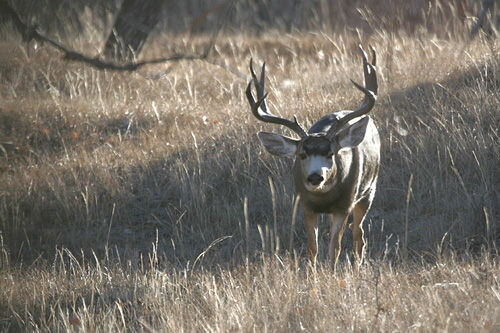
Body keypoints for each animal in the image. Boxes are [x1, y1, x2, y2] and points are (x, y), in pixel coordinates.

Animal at [246, 44, 378, 272]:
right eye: (302, 154)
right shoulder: (305, 205)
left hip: (369, 190)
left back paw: (357, 268)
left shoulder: (344, 205)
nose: (316, 177)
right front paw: (311, 274)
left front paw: (332, 274)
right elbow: (312, 247)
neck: (323, 198)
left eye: (331, 153)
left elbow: (335, 247)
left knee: (358, 233)